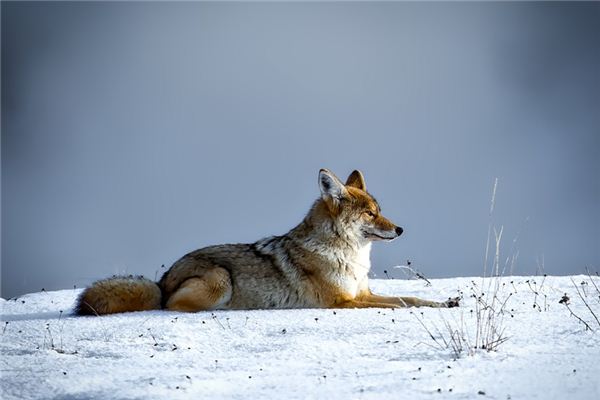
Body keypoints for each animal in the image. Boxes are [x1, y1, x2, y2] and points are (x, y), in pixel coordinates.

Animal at [76, 169, 460, 316]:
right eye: (370, 213)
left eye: (380, 211)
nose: (401, 229)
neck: (349, 257)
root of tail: (162, 280)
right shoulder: (343, 302)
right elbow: (398, 306)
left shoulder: (362, 293)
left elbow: (411, 298)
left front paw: (446, 303)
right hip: (220, 279)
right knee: (171, 307)